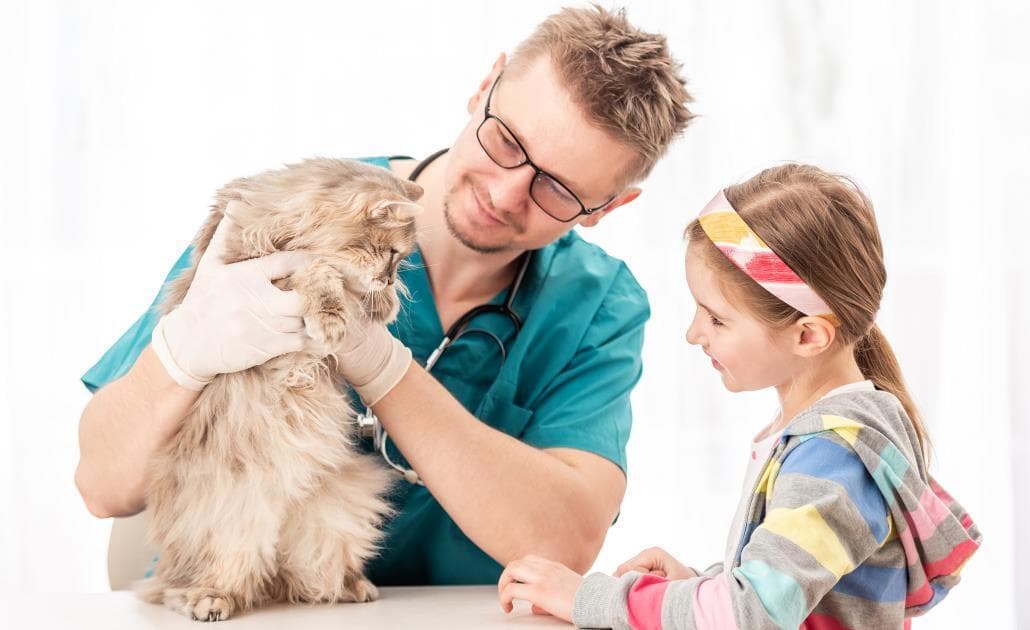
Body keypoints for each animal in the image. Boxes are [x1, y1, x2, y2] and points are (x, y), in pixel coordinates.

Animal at [140, 157, 422, 621]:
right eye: (395, 254)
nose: (388, 277)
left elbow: (349, 286)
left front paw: (381, 304)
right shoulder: (258, 263)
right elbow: (319, 270)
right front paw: (335, 316)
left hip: (332, 520)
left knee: (301, 576)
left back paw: (352, 586)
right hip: (218, 523)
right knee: (188, 583)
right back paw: (209, 600)